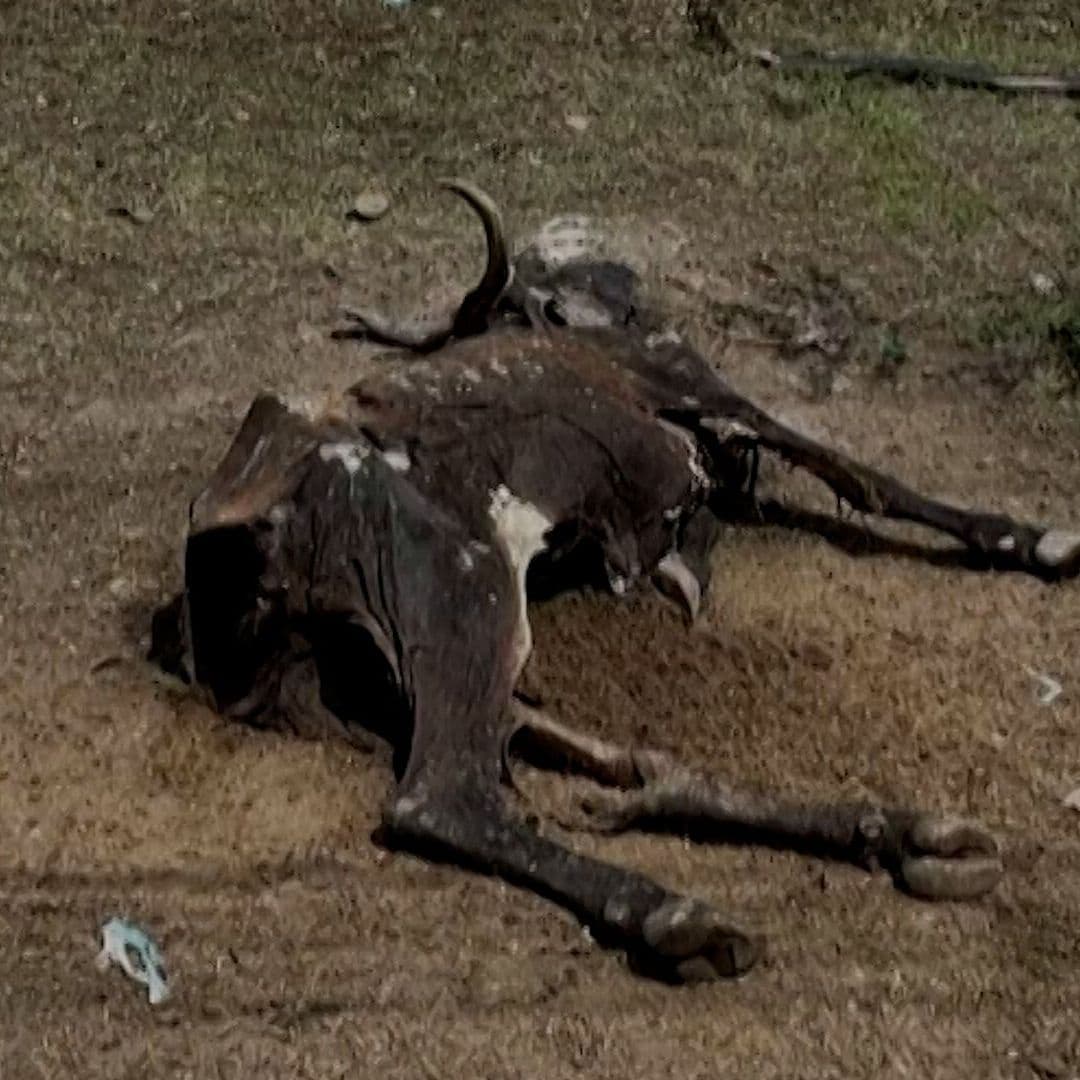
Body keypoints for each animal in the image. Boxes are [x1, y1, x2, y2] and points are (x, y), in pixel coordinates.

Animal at [151, 180, 1079, 982]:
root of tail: (232, 522)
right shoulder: (696, 385)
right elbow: (861, 473)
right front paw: (1038, 540)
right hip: (467, 594)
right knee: (441, 796)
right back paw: (676, 913)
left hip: (385, 665)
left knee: (574, 752)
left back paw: (897, 832)